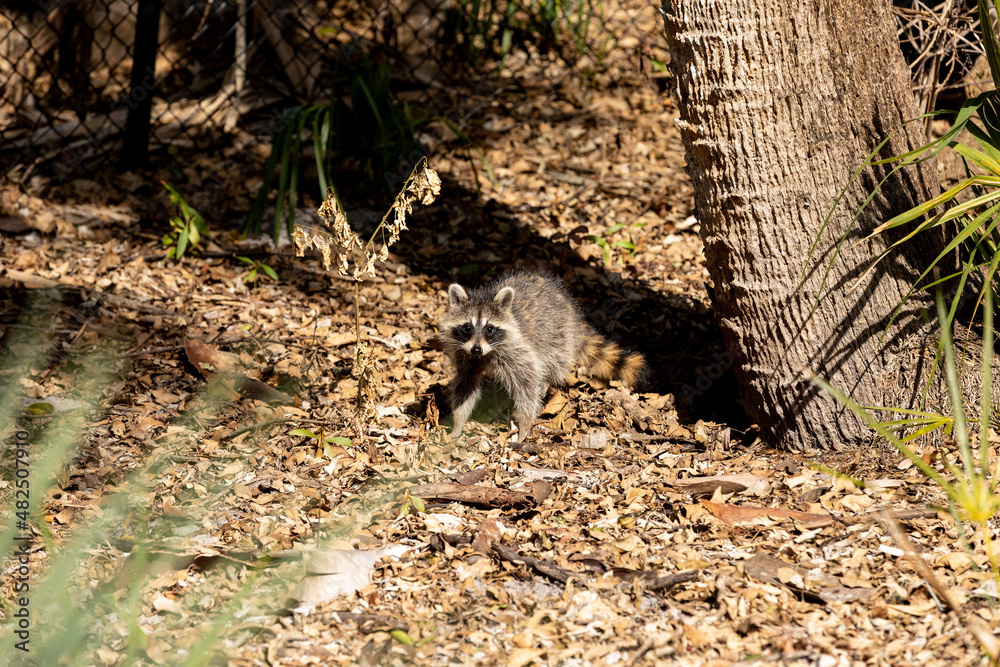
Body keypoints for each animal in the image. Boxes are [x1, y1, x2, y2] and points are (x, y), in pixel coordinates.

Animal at [439, 270, 644, 438]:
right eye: (467, 327)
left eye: (489, 329)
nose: (476, 349)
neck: (484, 354)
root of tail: (573, 313)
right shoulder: (466, 356)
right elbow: (465, 386)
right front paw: (458, 421)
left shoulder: (517, 350)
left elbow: (527, 381)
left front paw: (525, 423)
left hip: (557, 334)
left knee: (554, 360)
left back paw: (546, 381)